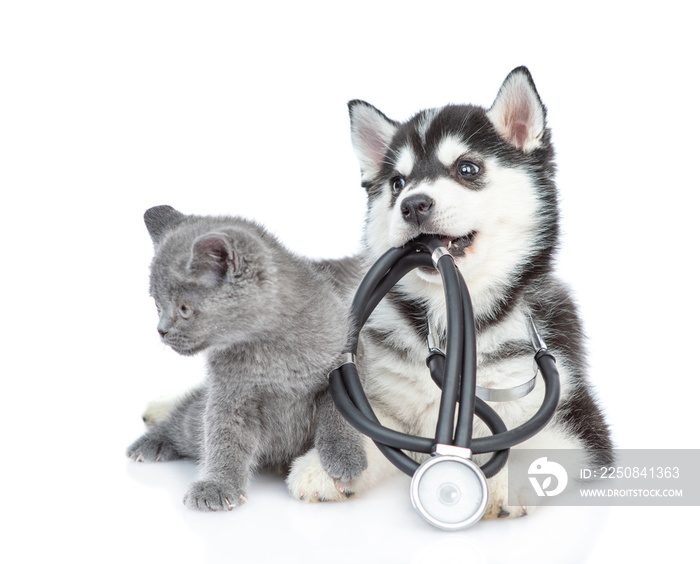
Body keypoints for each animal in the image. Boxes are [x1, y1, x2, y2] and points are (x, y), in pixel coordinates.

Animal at [126, 206, 366, 512]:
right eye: (158, 305)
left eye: (184, 309)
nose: (161, 330)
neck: (269, 347)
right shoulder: (229, 394)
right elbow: (223, 436)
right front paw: (217, 485)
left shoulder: (348, 356)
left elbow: (341, 411)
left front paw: (345, 456)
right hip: (192, 424)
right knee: (184, 421)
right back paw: (151, 442)